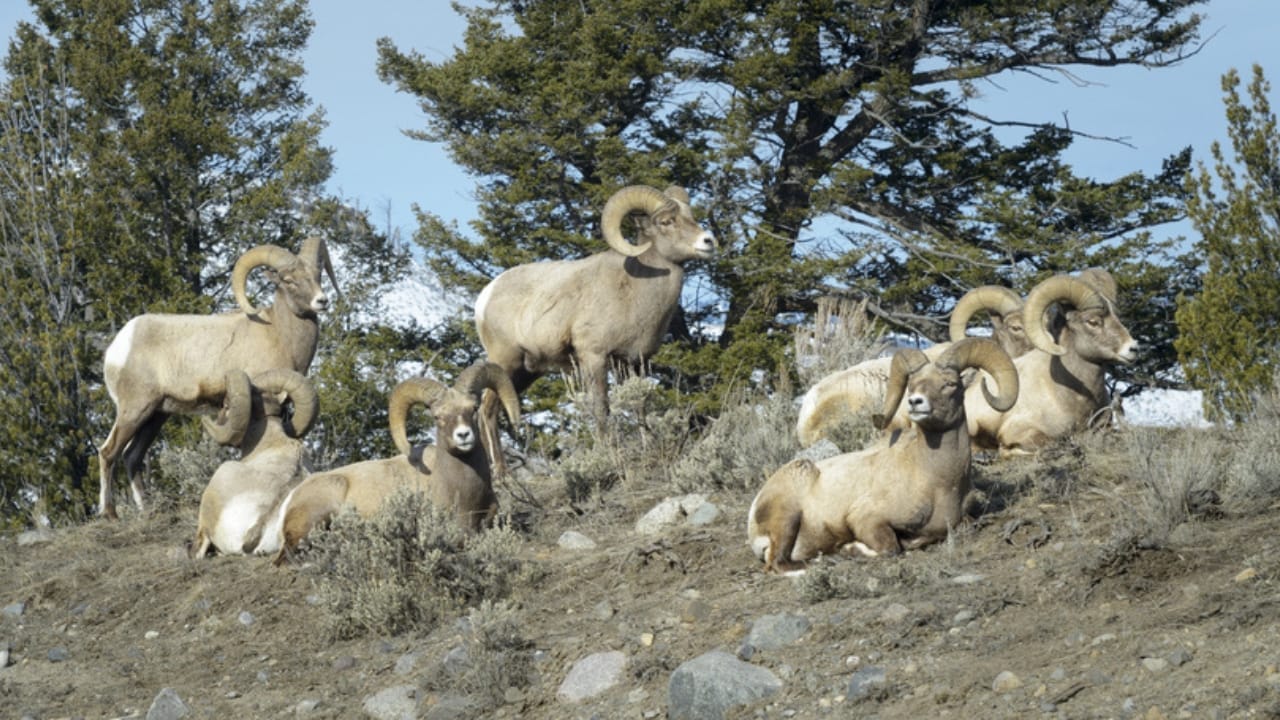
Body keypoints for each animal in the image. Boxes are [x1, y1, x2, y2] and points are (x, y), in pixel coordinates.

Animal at [96, 236, 338, 519]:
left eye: (317, 275)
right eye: (288, 280)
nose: (322, 301)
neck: (279, 334)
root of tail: (117, 348)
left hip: (156, 415)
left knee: (132, 457)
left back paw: (147, 510)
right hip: (134, 410)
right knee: (108, 452)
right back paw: (110, 513)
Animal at [473, 185, 716, 470]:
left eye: (691, 217)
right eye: (667, 221)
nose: (708, 241)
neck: (633, 291)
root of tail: (485, 298)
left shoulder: (633, 363)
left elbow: (639, 405)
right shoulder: (594, 357)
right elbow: (601, 408)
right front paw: (606, 455)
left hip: (524, 373)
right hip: (505, 363)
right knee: (486, 411)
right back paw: (501, 474)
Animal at [748, 337, 1019, 574]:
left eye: (950, 384)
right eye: (912, 384)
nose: (915, 402)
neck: (939, 483)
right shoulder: (866, 519)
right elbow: (891, 547)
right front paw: (851, 548)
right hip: (787, 520)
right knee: (778, 564)